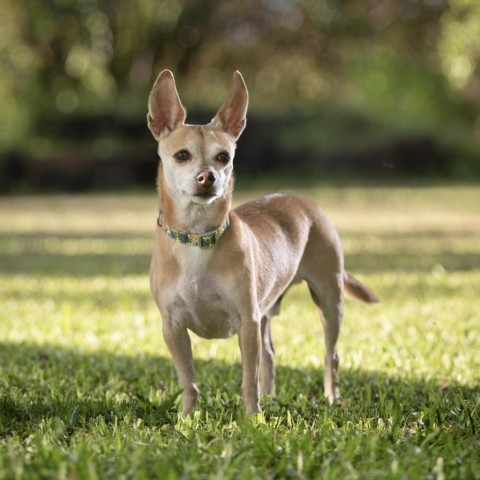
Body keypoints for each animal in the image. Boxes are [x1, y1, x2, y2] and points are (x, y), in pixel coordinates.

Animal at [147, 68, 378, 416]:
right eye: (181, 155)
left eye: (223, 157)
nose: (208, 177)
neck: (198, 237)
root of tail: (303, 201)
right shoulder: (172, 327)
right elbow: (189, 381)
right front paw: (187, 418)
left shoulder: (248, 323)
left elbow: (248, 379)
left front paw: (252, 418)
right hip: (269, 309)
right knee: (270, 354)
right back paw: (271, 397)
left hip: (329, 301)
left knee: (331, 355)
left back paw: (330, 397)